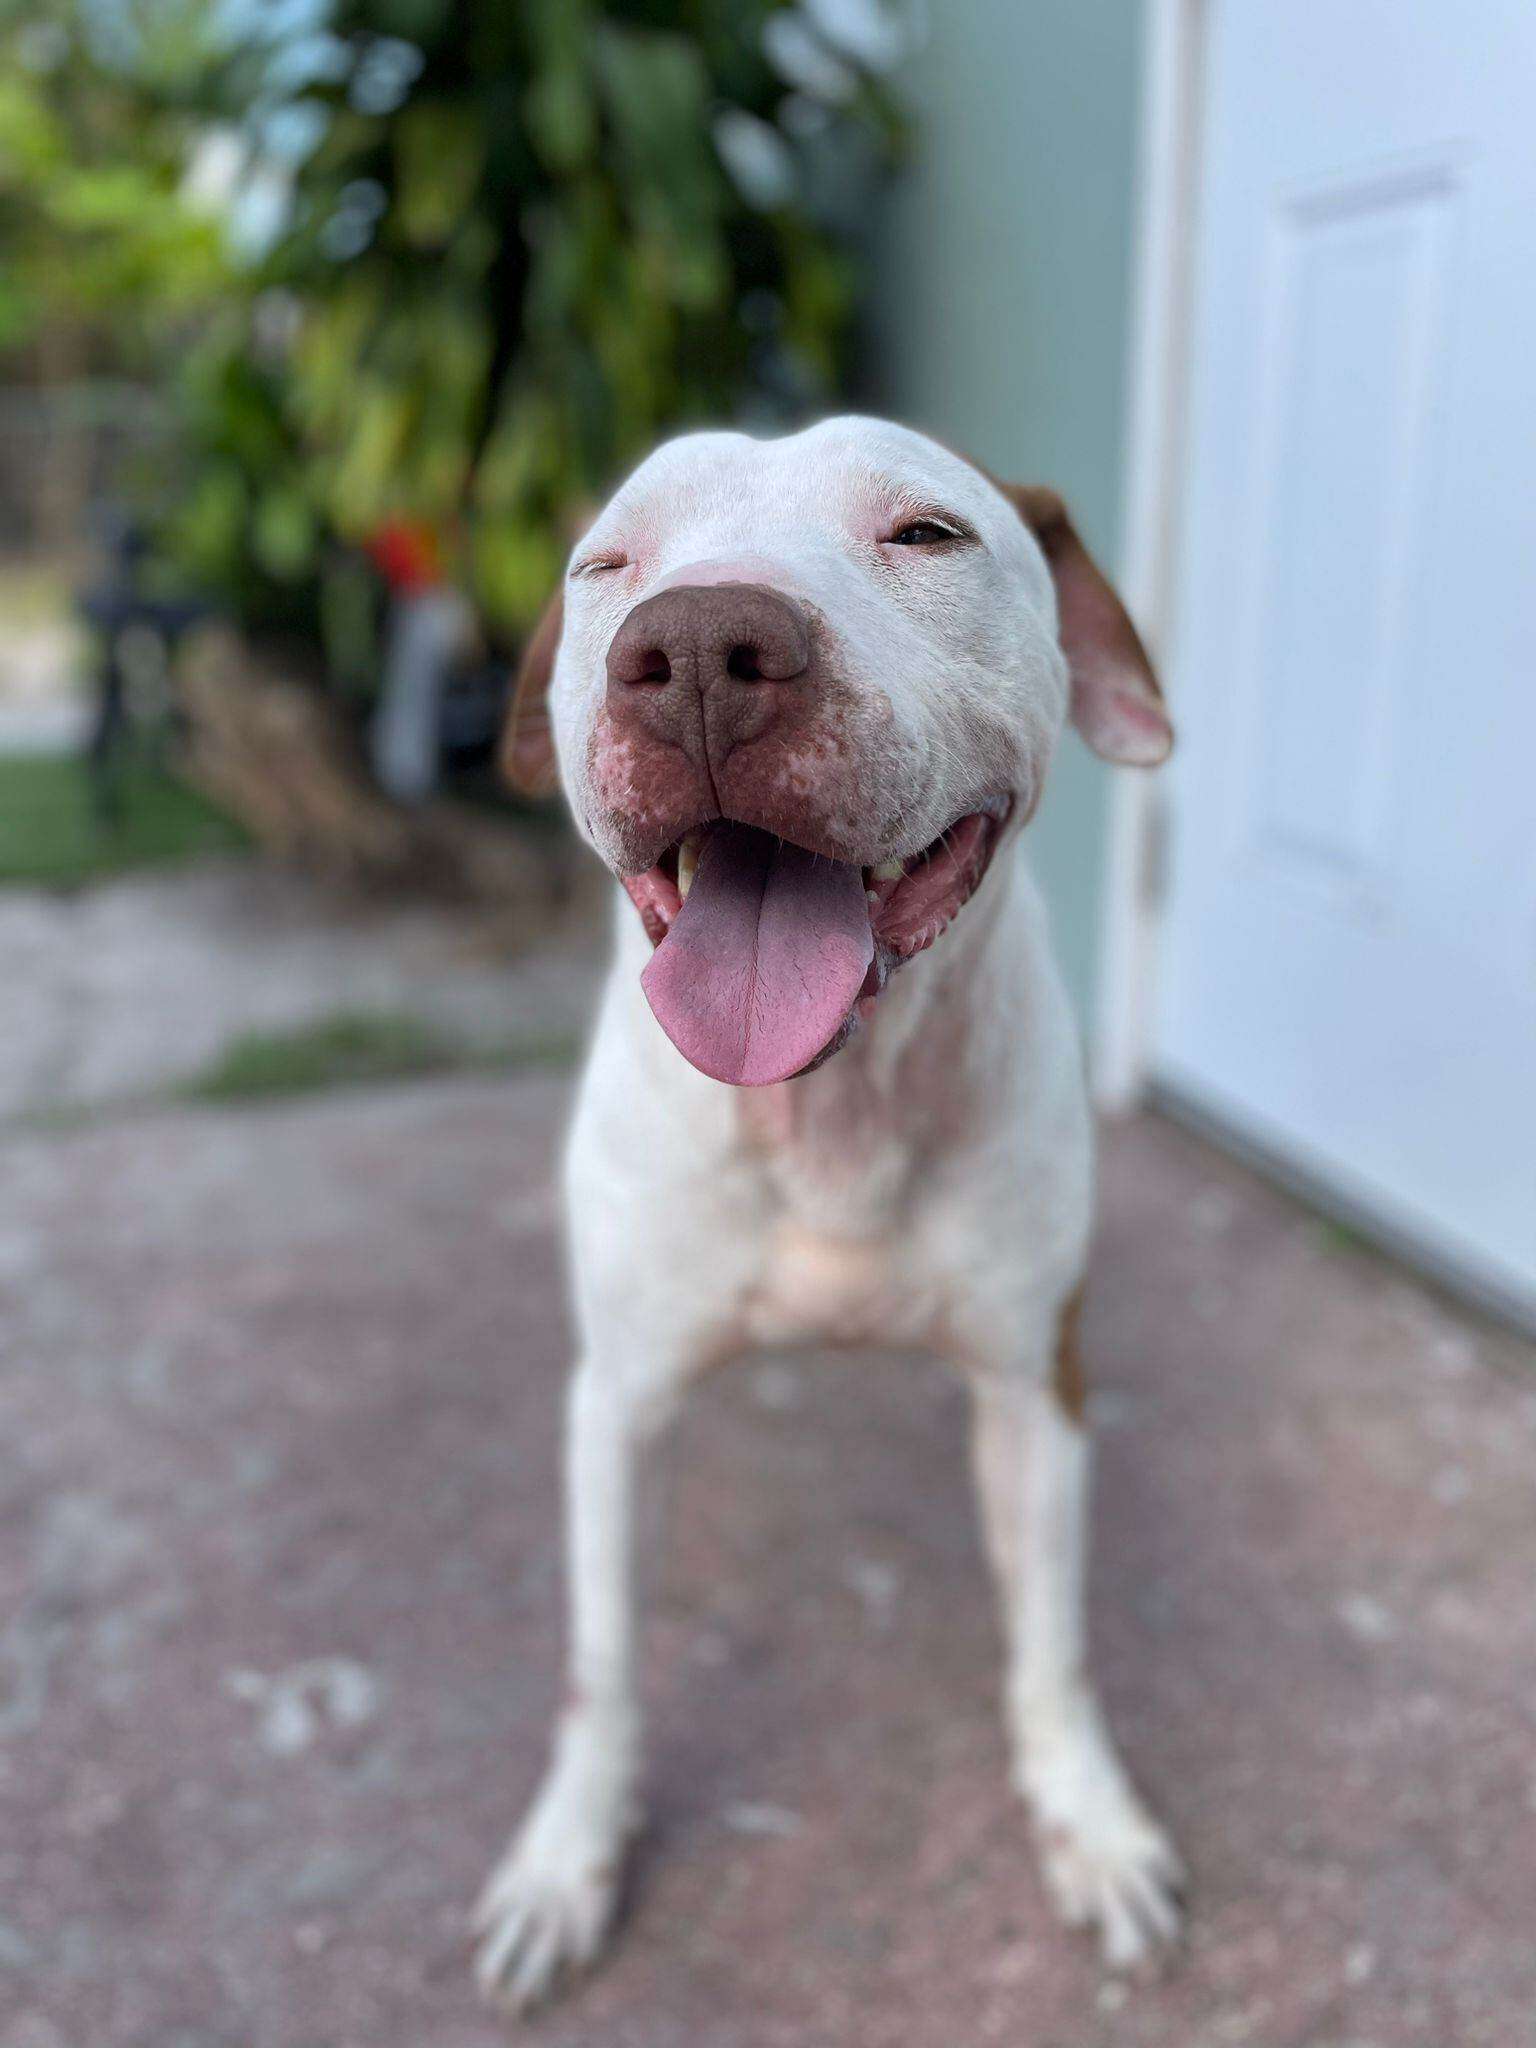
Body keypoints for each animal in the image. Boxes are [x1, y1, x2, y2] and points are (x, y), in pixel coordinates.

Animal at [475, 419, 1187, 2015]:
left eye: (926, 534)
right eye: (608, 564)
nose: (696, 646)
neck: (832, 1113)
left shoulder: (1036, 1386)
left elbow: (1052, 1644)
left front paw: (1090, 1819)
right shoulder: (616, 1402)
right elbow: (601, 1664)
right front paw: (567, 1857)